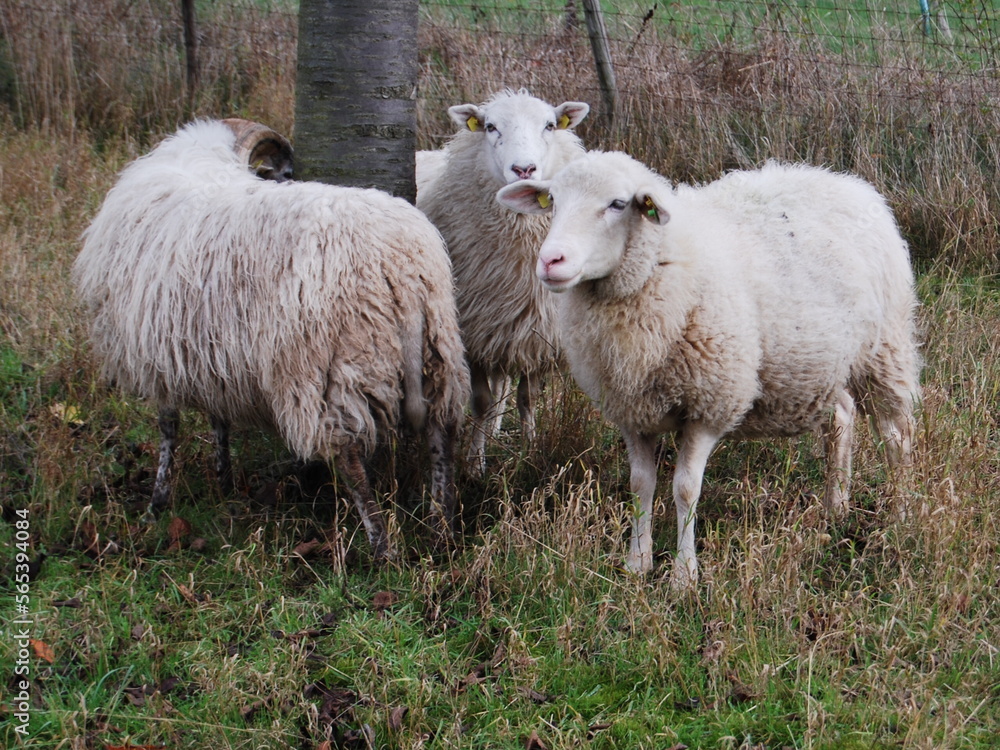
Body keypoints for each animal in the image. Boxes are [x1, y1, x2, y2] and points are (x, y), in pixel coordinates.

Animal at [73, 118, 470, 560]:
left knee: (348, 455)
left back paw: (381, 547)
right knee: (441, 433)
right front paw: (224, 480)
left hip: (333, 369)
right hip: (439, 350)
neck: (198, 161)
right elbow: (218, 419)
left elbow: (168, 425)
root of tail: (400, 263)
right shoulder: (212, 355)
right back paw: (442, 530)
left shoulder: (160, 352)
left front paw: (158, 501)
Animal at [417, 89, 590, 474]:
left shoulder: (535, 330)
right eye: (490, 126)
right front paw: (475, 464)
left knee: (504, 383)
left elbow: (528, 398)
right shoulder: (474, 331)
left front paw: (532, 451)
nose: (524, 169)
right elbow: (480, 401)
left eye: (550, 125)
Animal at [497, 152, 921, 585]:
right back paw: (837, 506)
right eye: (552, 201)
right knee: (841, 420)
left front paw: (684, 576)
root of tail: (848, 183)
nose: (550, 261)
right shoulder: (631, 410)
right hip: (824, 364)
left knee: (896, 436)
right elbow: (640, 484)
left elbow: (685, 489)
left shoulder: (708, 404)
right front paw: (637, 564)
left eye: (617, 204)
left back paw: (902, 514)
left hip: (884, 351)